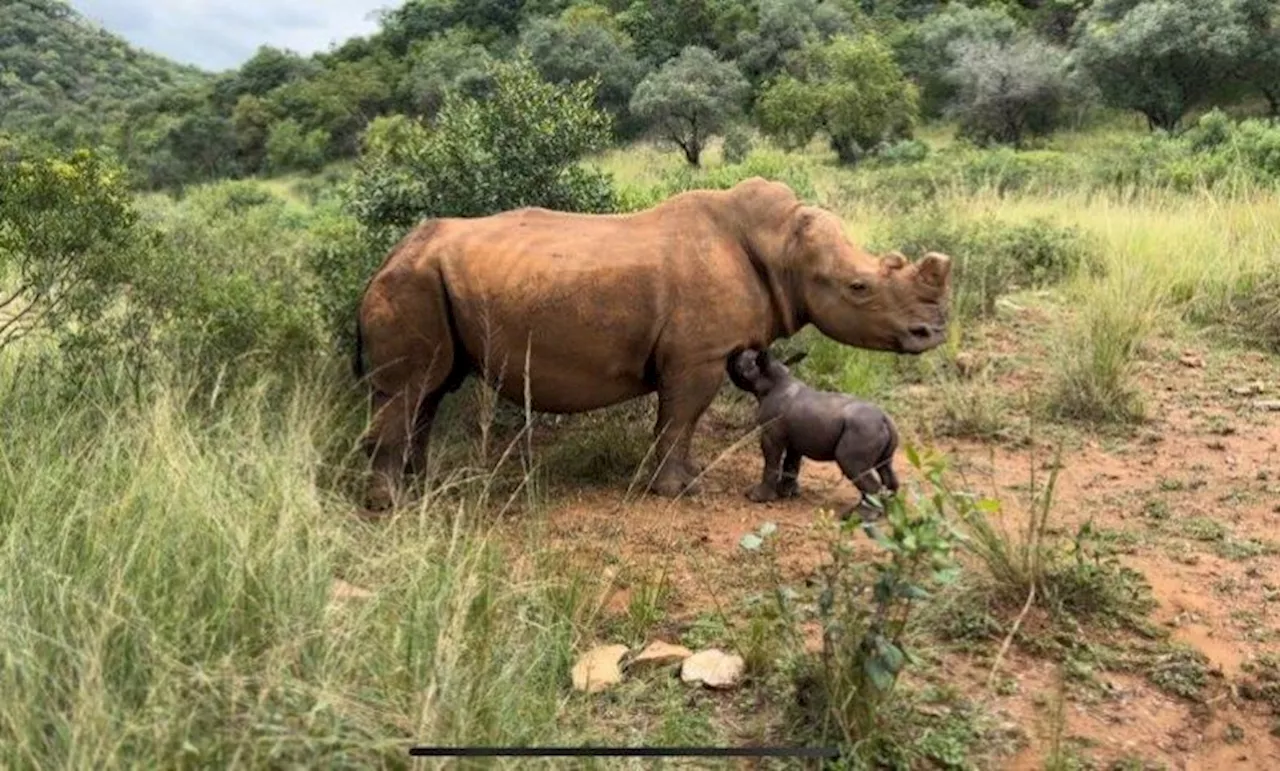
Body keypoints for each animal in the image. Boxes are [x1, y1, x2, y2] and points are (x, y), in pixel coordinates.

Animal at [732, 345, 901, 517]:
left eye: (739, 365)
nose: (732, 355)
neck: (771, 379)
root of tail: (885, 419)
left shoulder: (771, 435)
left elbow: (771, 462)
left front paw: (756, 497)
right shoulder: (795, 438)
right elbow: (791, 463)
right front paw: (786, 493)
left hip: (863, 430)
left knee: (853, 465)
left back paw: (858, 516)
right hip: (877, 429)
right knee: (885, 467)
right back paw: (890, 509)